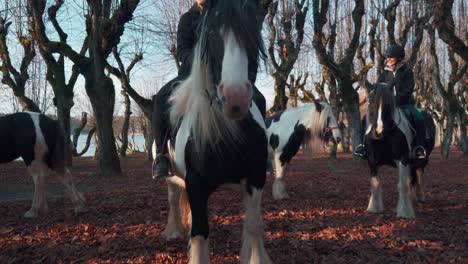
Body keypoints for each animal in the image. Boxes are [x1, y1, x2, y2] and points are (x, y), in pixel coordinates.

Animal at [154, 1, 270, 262]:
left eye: (254, 30)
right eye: (212, 33)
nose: (235, 98)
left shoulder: (256, 178)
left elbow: (253, 225)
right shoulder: (196, 184)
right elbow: (200, 232)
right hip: (169, 175)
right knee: (173, 197)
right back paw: (174, 231)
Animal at [364, 83, 436, 219]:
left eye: (389, 104)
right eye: (370, 101)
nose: (378, 132)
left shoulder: (403, 160)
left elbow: (402, 185)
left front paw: (404, 212)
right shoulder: (372, 161)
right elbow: (375, 184)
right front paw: (374, 208)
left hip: (421, 161)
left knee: (418, 176)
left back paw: (419, 197)